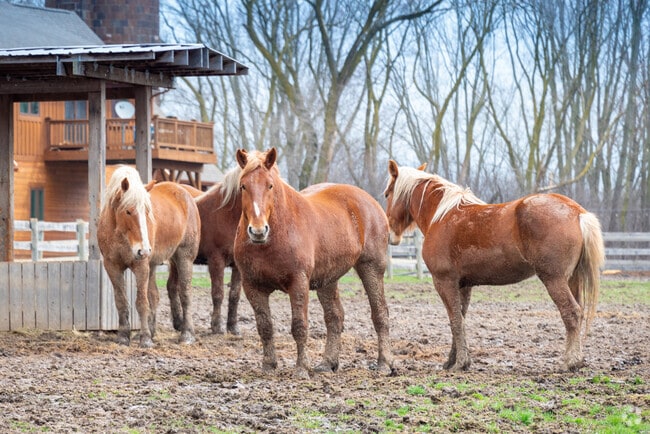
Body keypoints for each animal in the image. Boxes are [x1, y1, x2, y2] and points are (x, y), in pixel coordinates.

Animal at [98, 165, 201, 348]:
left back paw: (187, 335)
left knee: (185, 294)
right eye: (128, 211)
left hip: (184, 258)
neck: (119, 235)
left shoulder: (141, 266)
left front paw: (145, 338)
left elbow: (141, 302)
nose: (144, 250)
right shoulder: (112, 266)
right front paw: (123, 336)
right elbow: (121, 301)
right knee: (155, 296)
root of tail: (184, 192)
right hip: (154, 266)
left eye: (147, 211)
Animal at [181, 166, 243, 335]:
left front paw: (233, 327)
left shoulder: (237, 266)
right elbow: (218, 293)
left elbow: (234, 295)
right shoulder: (216, 261)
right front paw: (217, 326)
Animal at [233, 148, 394, 378]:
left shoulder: (298, 283)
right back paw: (328, 363)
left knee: (380, 313)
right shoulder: (252, 286)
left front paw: (302, 368)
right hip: (328, 279)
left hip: (371, 268)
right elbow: (265, 327)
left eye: (270, 185)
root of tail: (371, 202)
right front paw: (269, 365)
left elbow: (299, 326)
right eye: (243, 185)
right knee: (335, 317)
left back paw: (383, 363)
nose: (258, 230)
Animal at [384, 160, 605, 372]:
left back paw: (570, 362)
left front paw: (460, 363)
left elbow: (455, 320)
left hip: (554, 279)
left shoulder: (444, 282)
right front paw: (454, 361)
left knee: (571, 313)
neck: (442, 215)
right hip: (572, 279)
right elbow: (460, 319)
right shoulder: (463, 286)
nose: (390, 234)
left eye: (387, 194)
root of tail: (577, 212)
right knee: (579, 312)